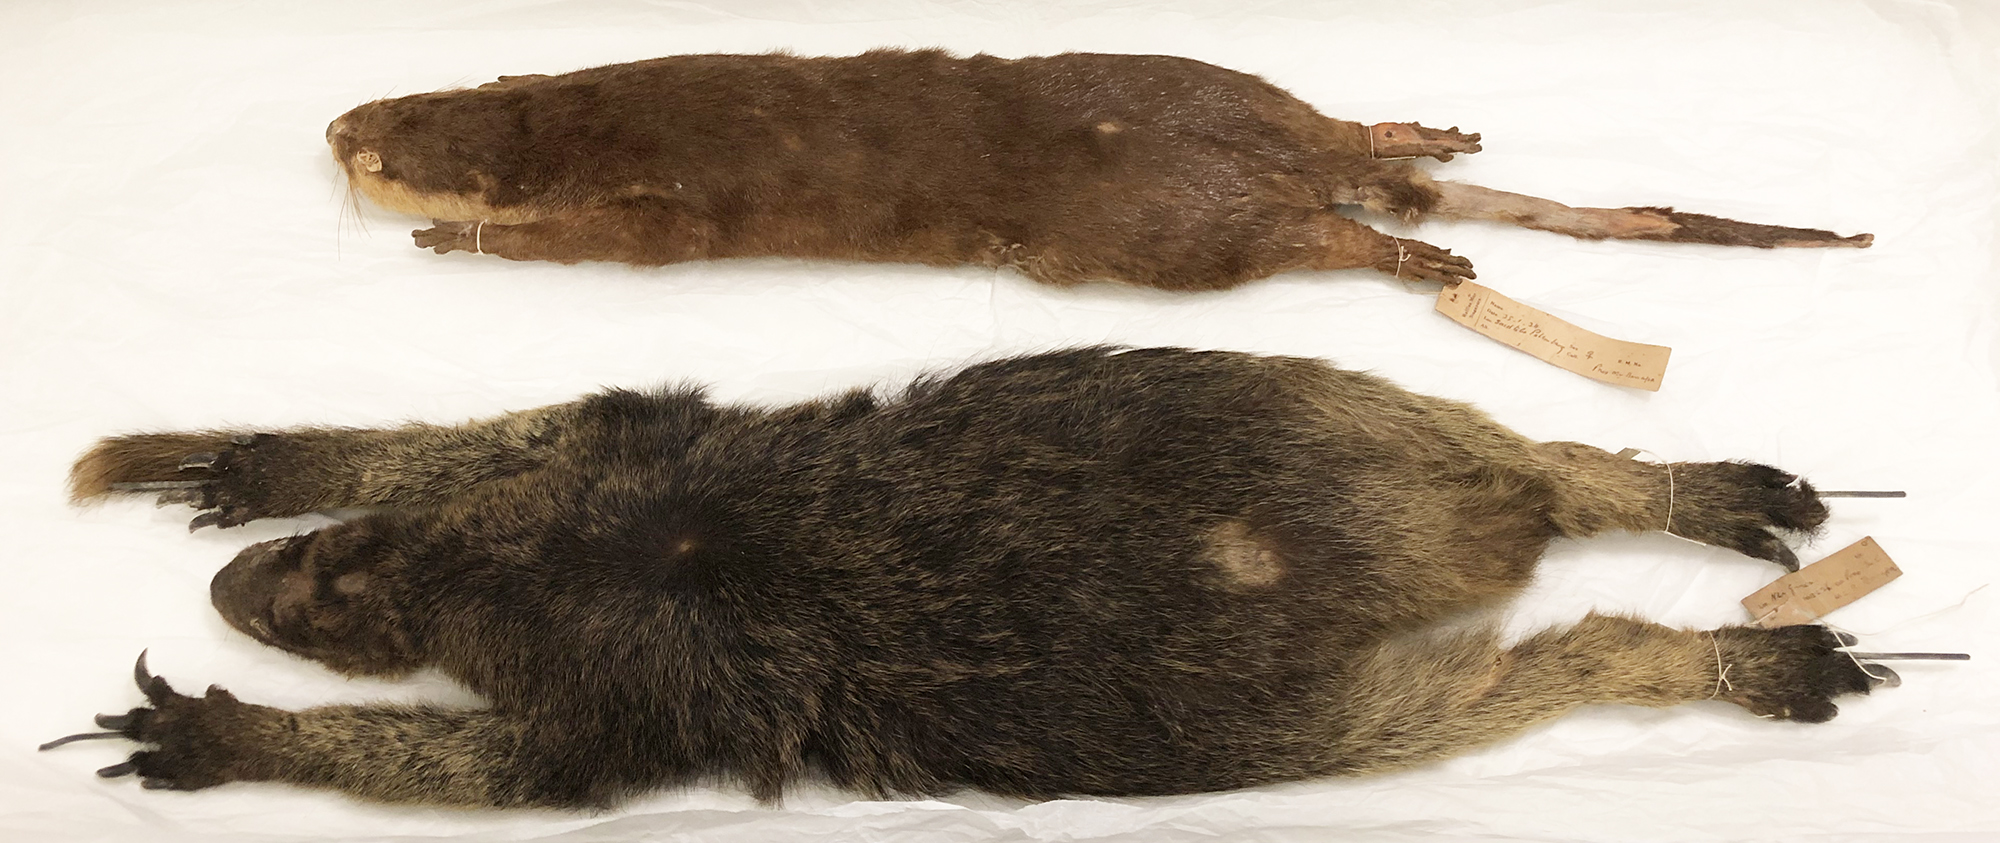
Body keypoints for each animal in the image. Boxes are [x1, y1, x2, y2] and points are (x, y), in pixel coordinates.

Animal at [51, 347, 1885, 807]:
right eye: (328, 578)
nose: (247, 592)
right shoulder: (592, 452)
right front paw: (257, 466)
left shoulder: (599, 695)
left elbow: (494, 762)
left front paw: (222, 724)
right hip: (1341, 418)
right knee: (1536, 473)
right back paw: (1677, 499)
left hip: (1321, 679)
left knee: (1555, 648)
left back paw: (1719, 635)